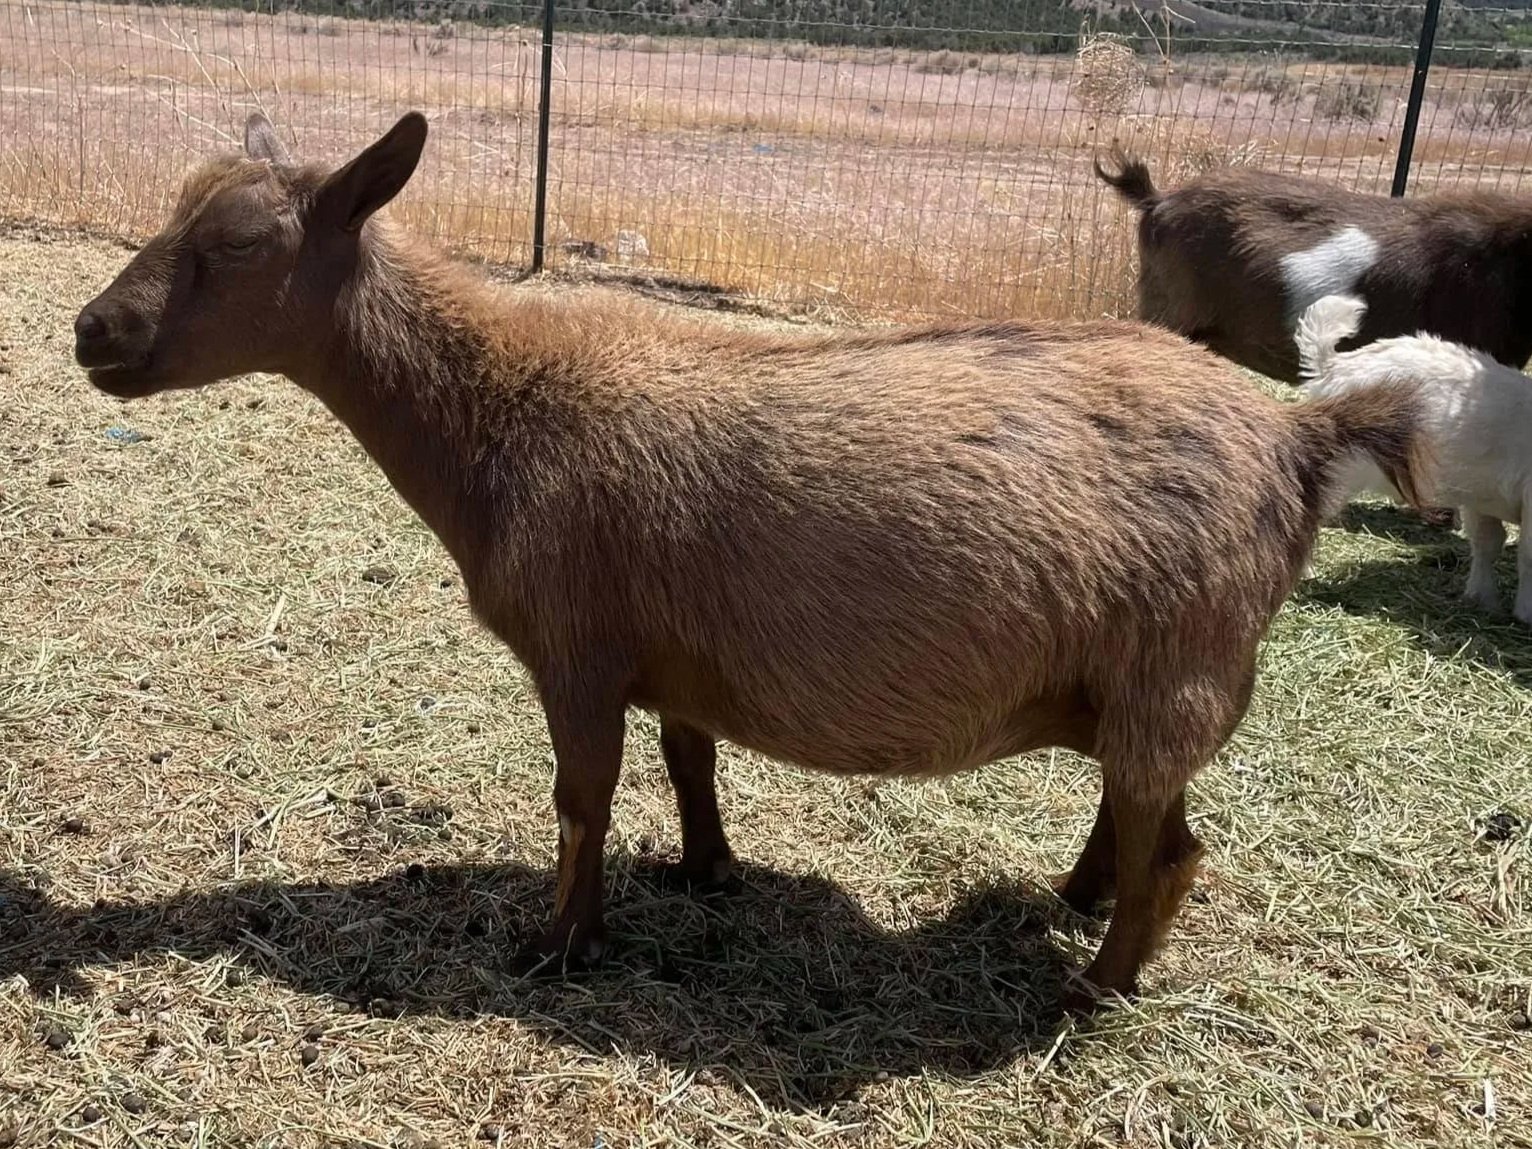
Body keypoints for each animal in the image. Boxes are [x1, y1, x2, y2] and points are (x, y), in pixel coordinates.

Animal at [73, 111, 1427, 1006]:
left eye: (238, 245)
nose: (92, 332)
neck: (500, 407)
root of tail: (1297, 436)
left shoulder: (576, 650)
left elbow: (581, 799)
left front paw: (560, 945)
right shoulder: (676, 649)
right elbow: (689, 761)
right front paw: (705, 871)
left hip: (1178, 670)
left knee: (1177, 846)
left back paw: (1098, 988)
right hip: (1144, 678)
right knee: (1141, 814)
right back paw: (1078, 901)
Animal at [1298, 293, 1530, 625]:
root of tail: (1334, 366)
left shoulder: (1481, 495)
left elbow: (1487, 542)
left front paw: (1482, 600)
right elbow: (1527, 554)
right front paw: (1525, 613)